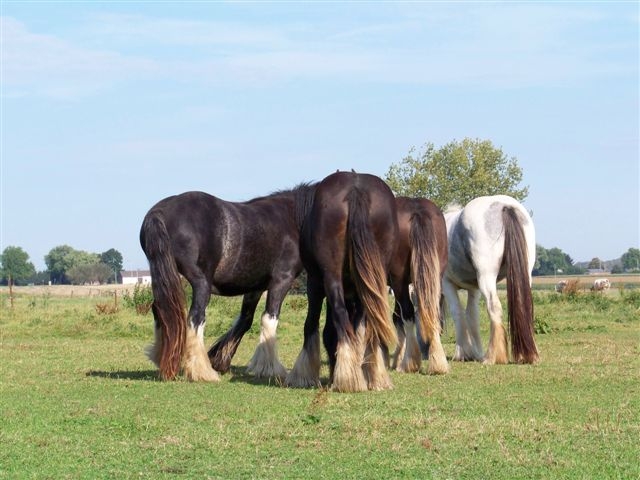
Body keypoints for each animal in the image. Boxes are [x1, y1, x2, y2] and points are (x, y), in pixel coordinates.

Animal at [142, 185, 318, 382]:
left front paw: (220, 360)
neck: (292, 219)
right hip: (201, 283)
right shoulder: (281, 281)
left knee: (161, 311)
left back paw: (163, 358)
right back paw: (201, 371)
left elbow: (245, 320)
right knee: (195, 318)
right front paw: (270, 368)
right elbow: (269, 319)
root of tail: (160, 212)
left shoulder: (255, 286)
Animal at [286, 171, 400, 392]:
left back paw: (348, 379)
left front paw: (305, 376)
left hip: (330, 278)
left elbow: (315, 326)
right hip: (372, 279)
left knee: (340, 319)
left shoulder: (314, 285)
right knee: (364, 323)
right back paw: (373, 375)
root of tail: (355, 189)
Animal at [442, 195, 536, 364]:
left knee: (494, 307)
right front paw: (476, 352)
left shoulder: (447, 284)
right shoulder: (473, 289)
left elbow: (458, 313)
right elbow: (472, 316)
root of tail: (504, 206)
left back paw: (492, 357)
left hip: (487, 277)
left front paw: (462, 353)